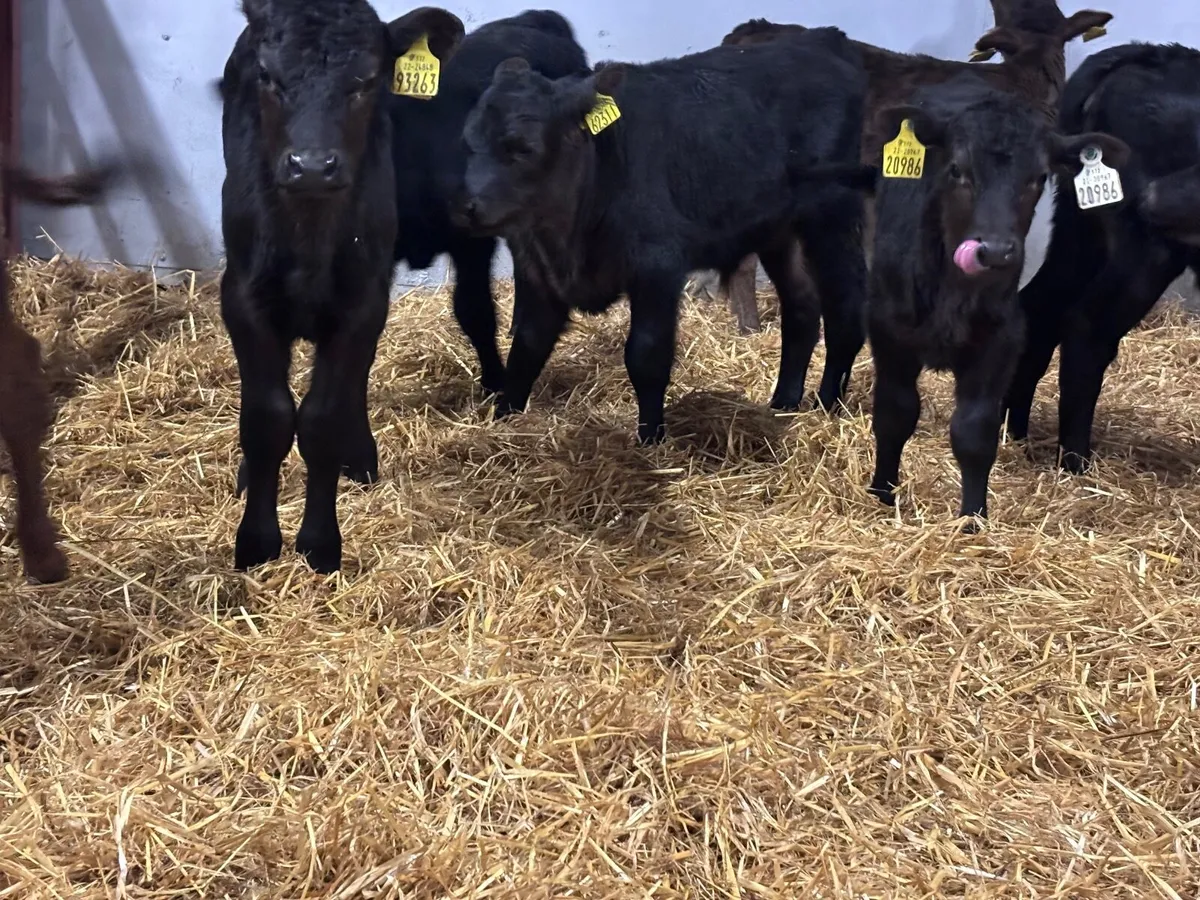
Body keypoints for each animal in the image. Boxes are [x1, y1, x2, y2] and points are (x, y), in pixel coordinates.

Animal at [219, 0, 463, 574]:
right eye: (268, 76)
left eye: (367, 81)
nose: (311, 166)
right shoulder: (241, 299)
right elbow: (266, 417)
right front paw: (256, 541)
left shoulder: (362, 303)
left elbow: (321, 420)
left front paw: (318, 543)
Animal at [453, 27, 872, 444]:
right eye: (469, 141)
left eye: (523, 149)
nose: (467, 207)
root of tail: (821, 41)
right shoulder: (540, 272)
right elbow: (527, 346)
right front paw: (502, 421)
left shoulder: (656, 266)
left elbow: (646, 355)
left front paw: (650, 440)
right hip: (779, 231)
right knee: (801, 308)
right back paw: (783, 403)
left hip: (833, 214)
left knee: (845, 310)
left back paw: (827, 404)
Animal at [865, 74, 1127, 522]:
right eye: (956, 170)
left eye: (1039, 177)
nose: (997, 252)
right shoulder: (889, 331)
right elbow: (894, 413)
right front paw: (882, 496)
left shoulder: (1001, 338)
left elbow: (974, 431)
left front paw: (973, 519)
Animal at [1004, 42, 1200, 473]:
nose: (1155, 199)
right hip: (1142, 252)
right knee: (1087, 326)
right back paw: (1075, 462)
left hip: (1079, 228)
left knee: (1040, 306)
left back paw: (1013, 433)